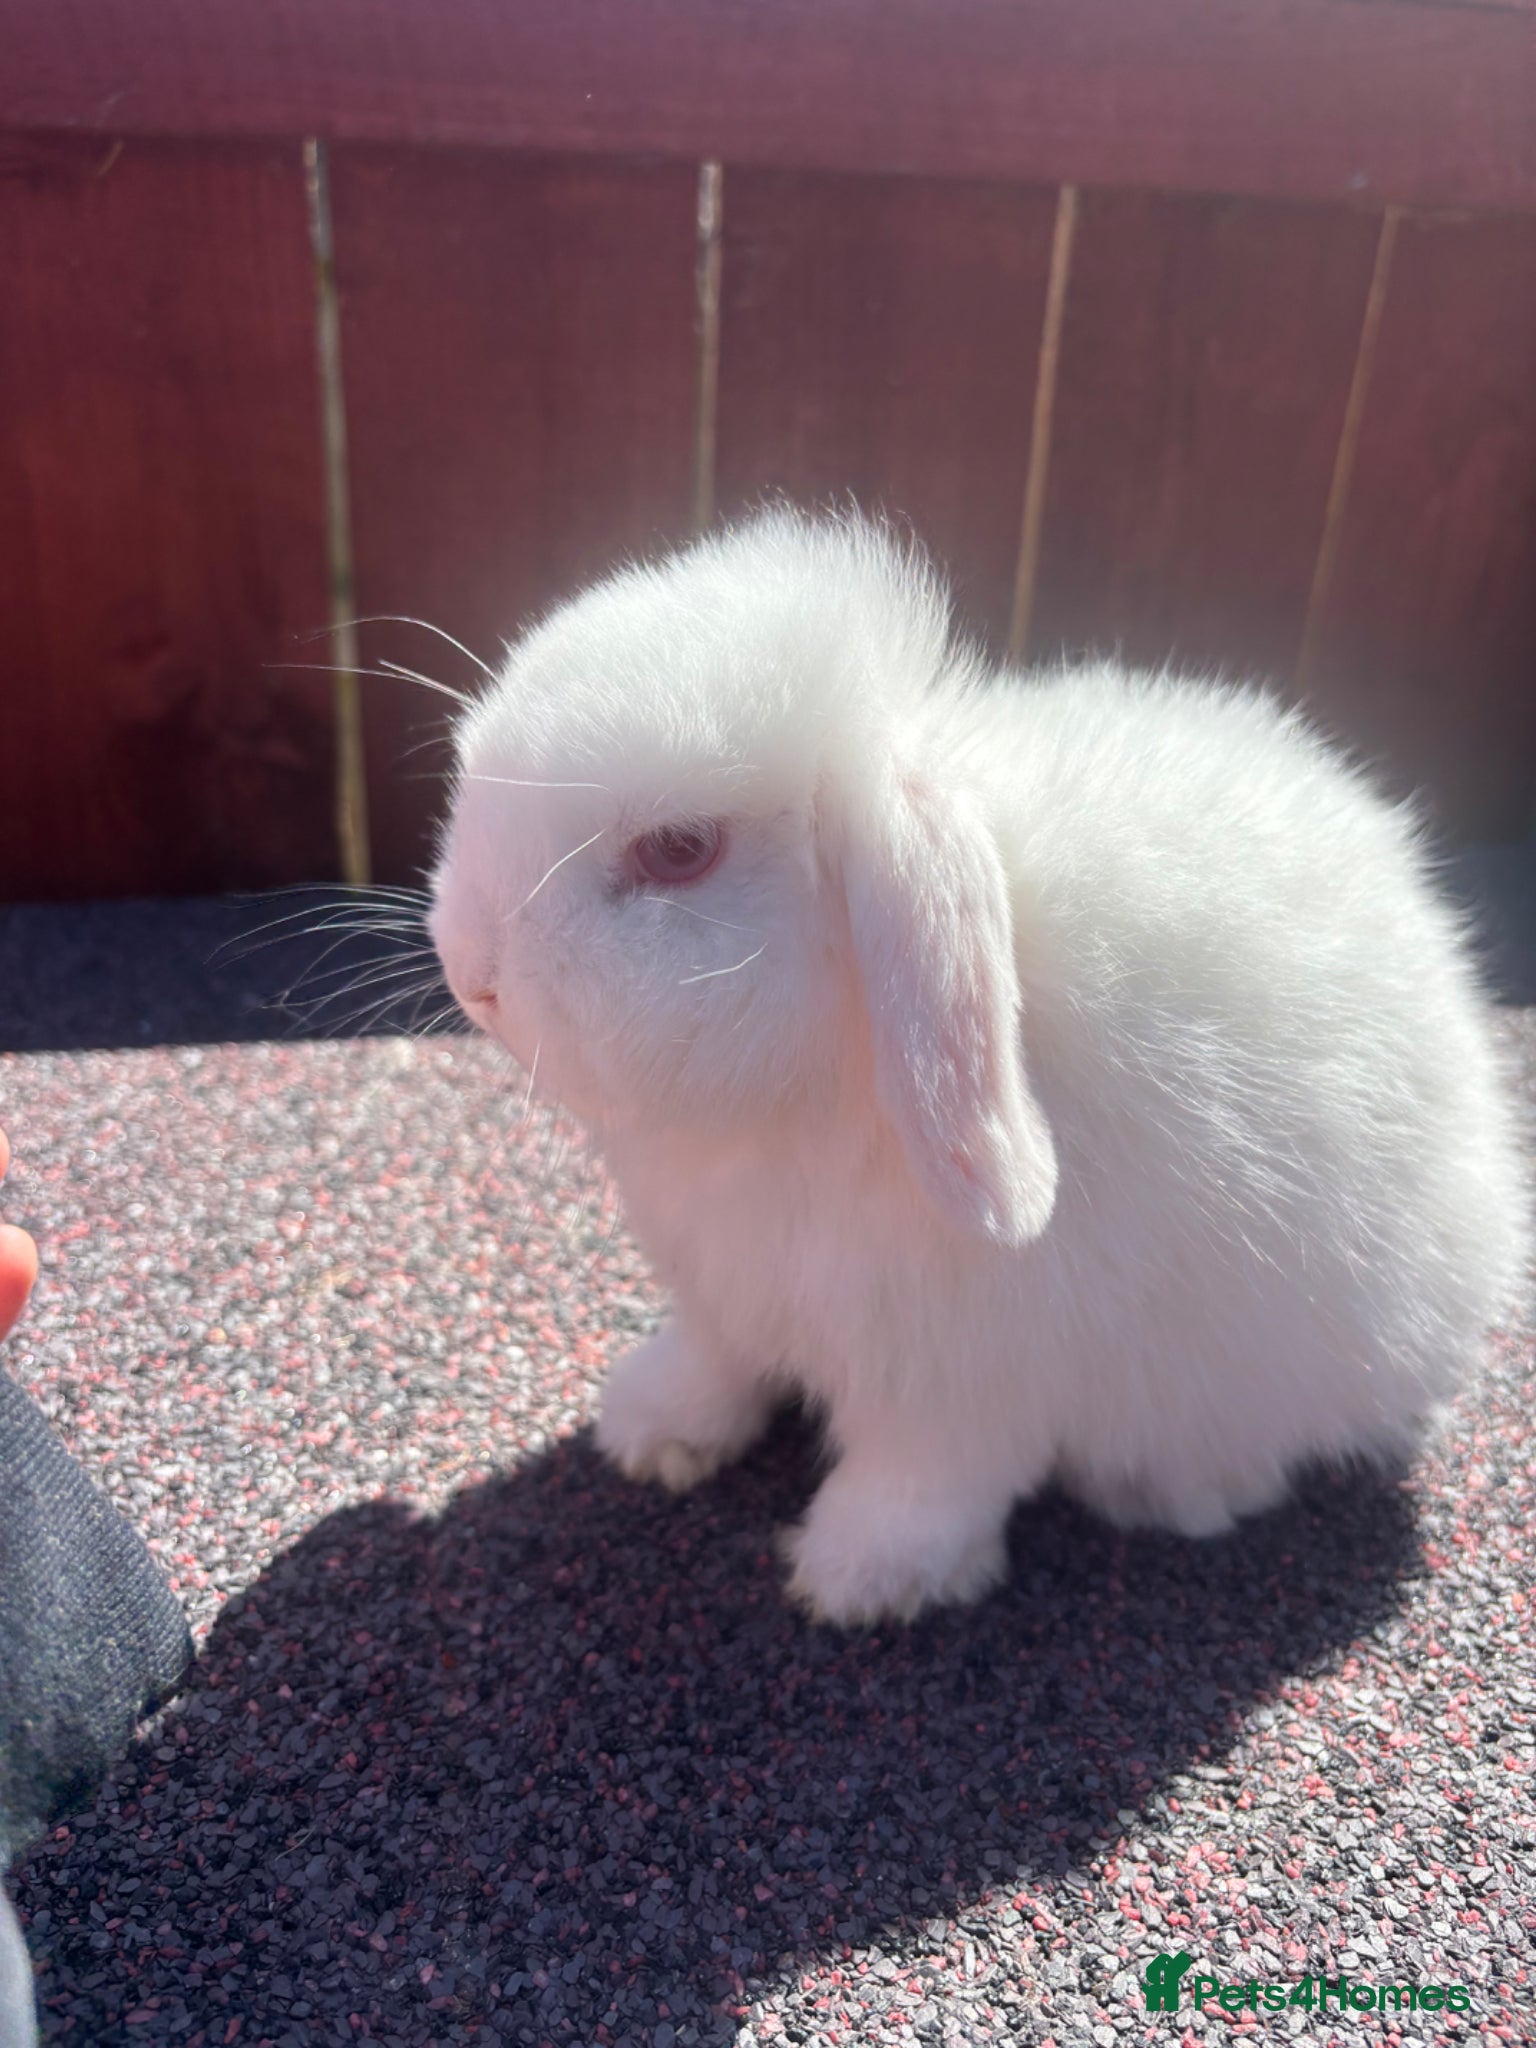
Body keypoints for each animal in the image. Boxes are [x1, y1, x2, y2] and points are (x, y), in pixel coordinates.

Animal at [429, 509, 1528, 1626]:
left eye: (680, 849)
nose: (470, 971)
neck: (805, 1093)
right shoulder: (719, 1297)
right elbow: (713, 1367)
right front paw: (651, 1434)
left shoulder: (964, 1381)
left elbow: (923, 1482)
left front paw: (862, 1582)